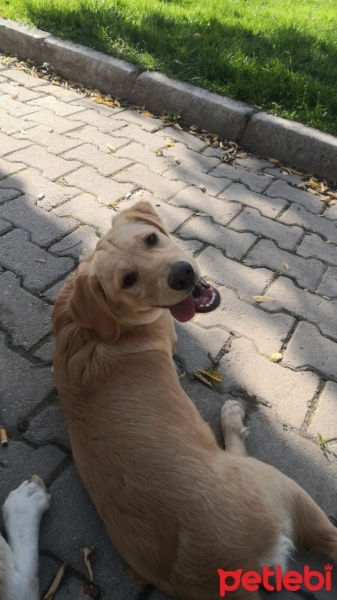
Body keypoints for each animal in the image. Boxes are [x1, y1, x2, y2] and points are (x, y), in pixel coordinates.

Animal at [52, 203, 336, 600]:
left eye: (151, 238)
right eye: (128, 280)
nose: (183, 274)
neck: (98, 327)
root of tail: (238, 571)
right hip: (280, 484)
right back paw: (231, 417)